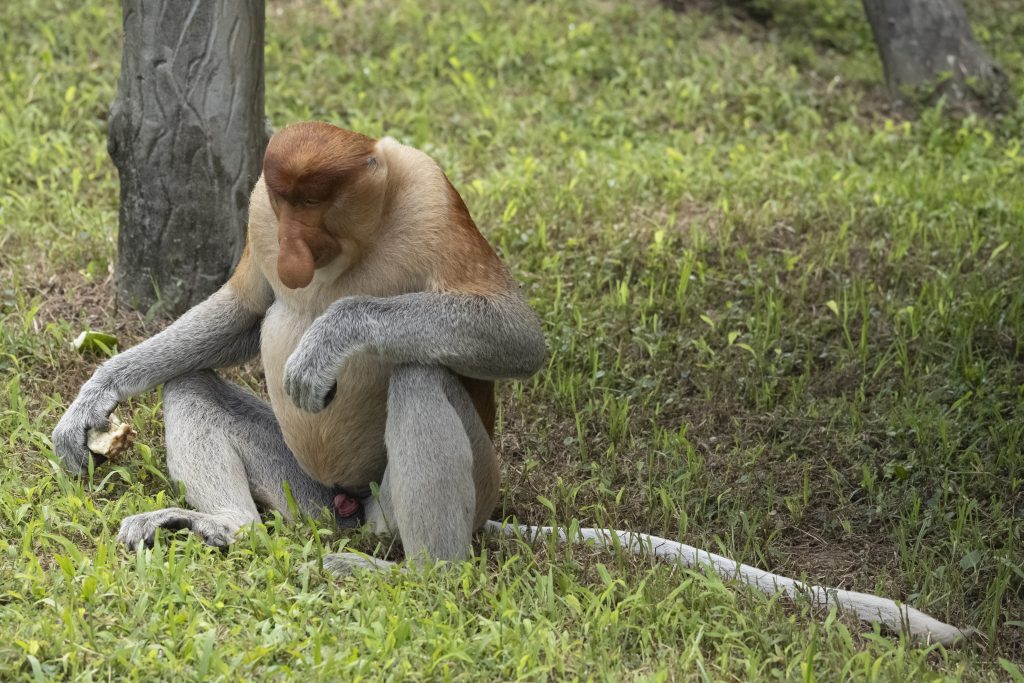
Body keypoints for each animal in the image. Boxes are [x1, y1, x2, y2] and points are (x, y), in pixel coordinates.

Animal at [51, 121, 965, 644]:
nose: (298, 252)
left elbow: (516, 336)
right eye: (289, 203)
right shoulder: (256, 214)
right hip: (309, 494)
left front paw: (329, 337)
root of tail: (356, 514)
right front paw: (95, 398)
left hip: (438, 490)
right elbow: (246, 308)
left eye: (320, 205)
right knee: (192, 386)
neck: (361, 237)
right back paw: (223, 526)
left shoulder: (427, 193)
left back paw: (414, 577)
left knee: (421, 376)